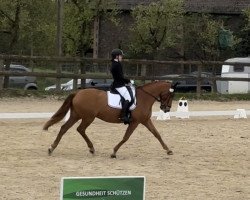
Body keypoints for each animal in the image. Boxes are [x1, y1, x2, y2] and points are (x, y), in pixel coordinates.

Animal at [43, 81, 176, 158]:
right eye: (171, 95)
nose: (166, 109)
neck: (144, 97)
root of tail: (77, 93)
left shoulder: (145, 120)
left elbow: (156, 134)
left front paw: (168, 150)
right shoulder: (135, 122)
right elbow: (126, 137)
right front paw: (114, 152)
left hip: (76, 115)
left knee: (64, 128)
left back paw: (51, 148)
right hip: (88, 117)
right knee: (80, 129)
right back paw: (91, 148)